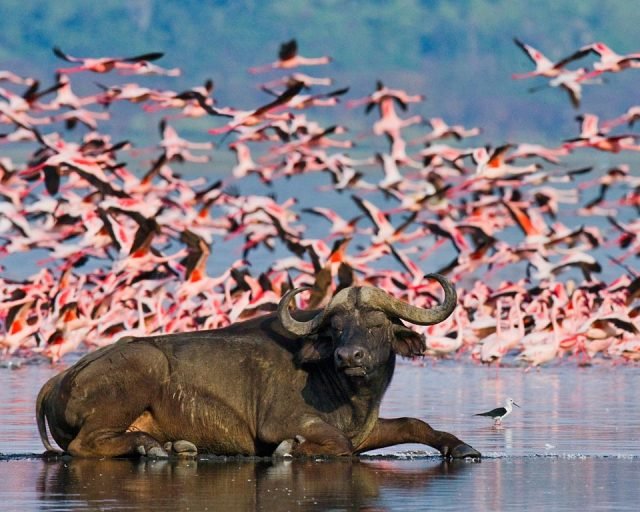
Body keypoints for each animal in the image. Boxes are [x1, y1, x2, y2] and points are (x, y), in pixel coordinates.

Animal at [37, 273, 480, 459]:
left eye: (376, 324)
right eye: (336, 327)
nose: (349, 357)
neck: (350, 394)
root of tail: (58, 379)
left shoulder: (366, 430)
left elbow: (414, 424)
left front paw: (462, 447)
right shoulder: (281, 423)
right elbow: (335, 445)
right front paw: (291, 451)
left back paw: (171, 447)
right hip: (140, 370)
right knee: (83, 446)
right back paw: (153, 449)